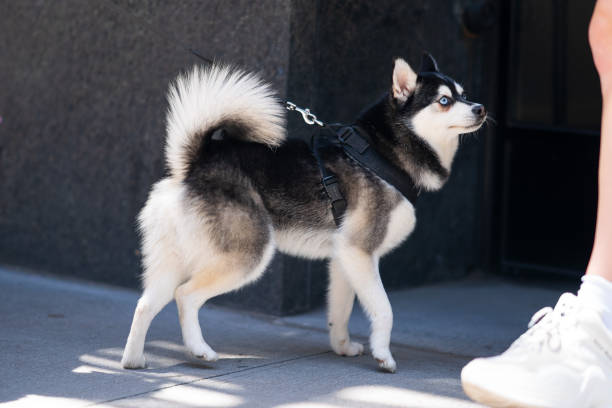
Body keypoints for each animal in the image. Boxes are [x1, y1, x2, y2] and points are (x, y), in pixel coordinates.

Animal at [122, 53, 488, 372]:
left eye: (464, 94)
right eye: (444, 101)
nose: (481, 107)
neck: (382, 153)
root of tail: (195, 164)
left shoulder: (344, 259)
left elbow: (340, 311)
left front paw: (342, 347)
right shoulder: (360, 252)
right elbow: (384, 310)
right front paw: (383, 356)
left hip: (173, 260)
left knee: (145, 304)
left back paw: (133, 360)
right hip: (246, 256)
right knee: (185, 296)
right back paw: (199, 350)